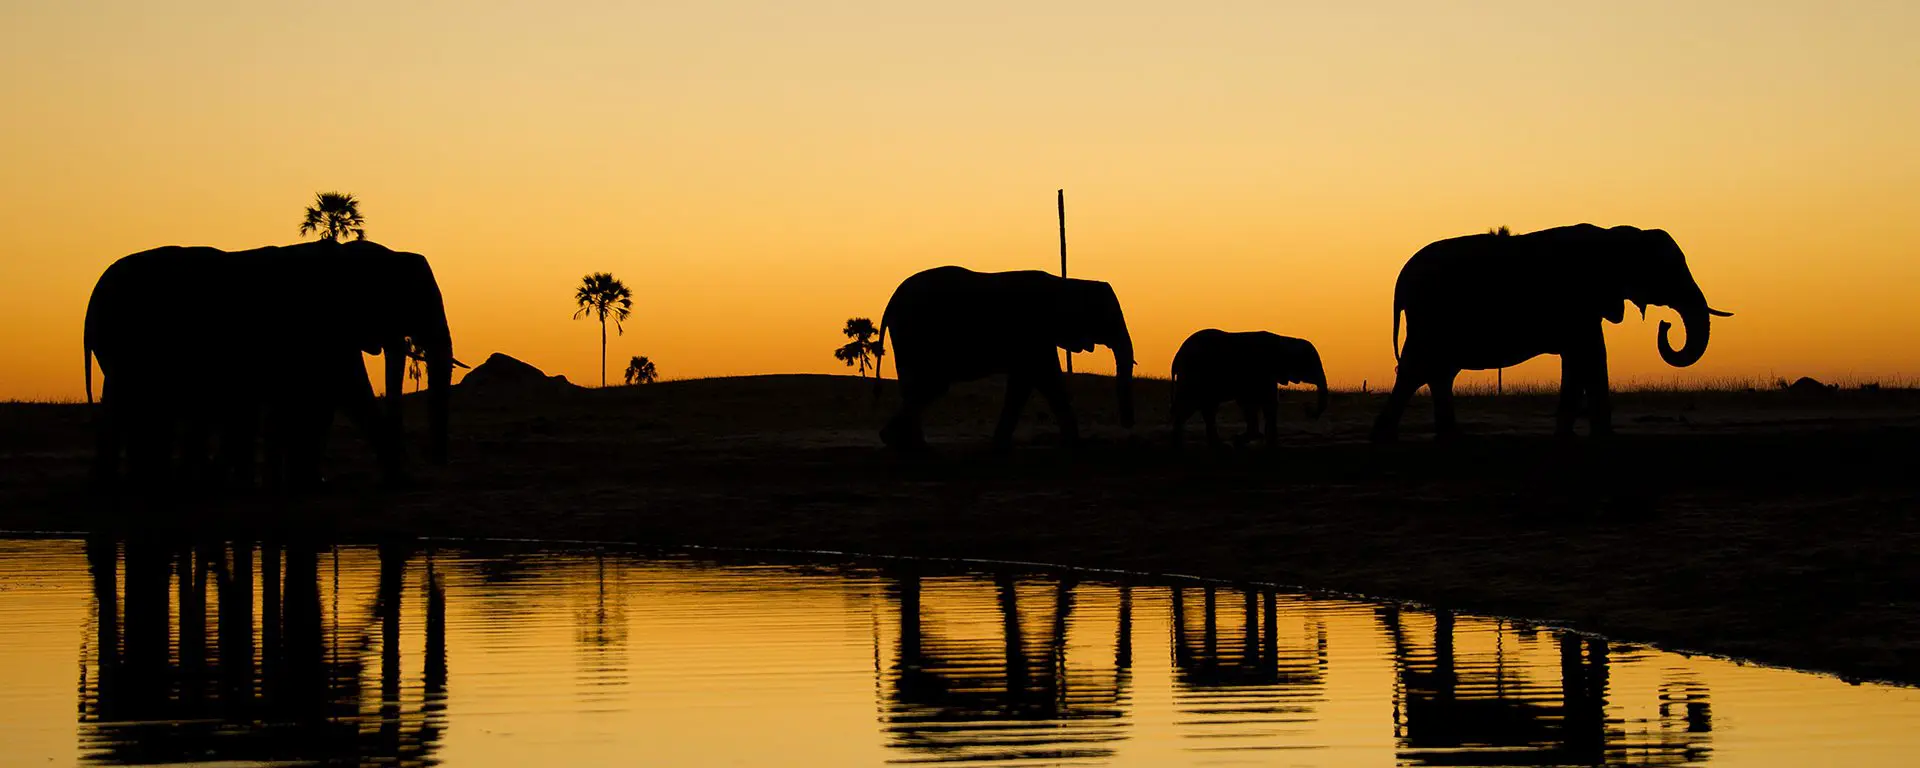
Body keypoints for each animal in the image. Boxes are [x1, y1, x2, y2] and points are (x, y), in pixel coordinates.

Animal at [88, 240, 458, 489]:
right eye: (413, 299)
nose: (435, 463)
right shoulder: (323, 325)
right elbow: (347, 389)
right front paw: (397, 480)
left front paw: (311, 481)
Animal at [879, 266, 1128, 453]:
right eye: (1109, 318)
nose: (1126, 427)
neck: (1066, 284)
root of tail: (890, 302)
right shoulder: (1033, 333)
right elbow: (1043, 379)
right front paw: (1076, 445)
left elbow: (1029, 382)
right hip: (919, 335)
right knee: (932, 385)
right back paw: (897, 441)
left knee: (918, 387)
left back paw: (910, 444)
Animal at [1159, 332, 1328, 449]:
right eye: (1310, 364)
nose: (1307, 409)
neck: (1285, 340)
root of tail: (1177, 356)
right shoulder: (1260, 370)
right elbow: (1256, 402)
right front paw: (1241, 440)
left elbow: (1266, 403)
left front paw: (1263, 442)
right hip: (1194, 376)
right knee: (1190, 406)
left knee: (1205, 409)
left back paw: (1215, 446)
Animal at [1374, 223, 1735, 437]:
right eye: (1668, 271)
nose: (1665, 324)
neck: (1614, 235)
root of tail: (1401, 279)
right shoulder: (1578, 300)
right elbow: (1591, 354)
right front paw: (1600, 437)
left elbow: (1580, 359)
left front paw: (1568, 435)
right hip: (1430, 316)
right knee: (1417, 369)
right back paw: (1386, 436)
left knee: (1437, 373)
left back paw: (1445, 436)